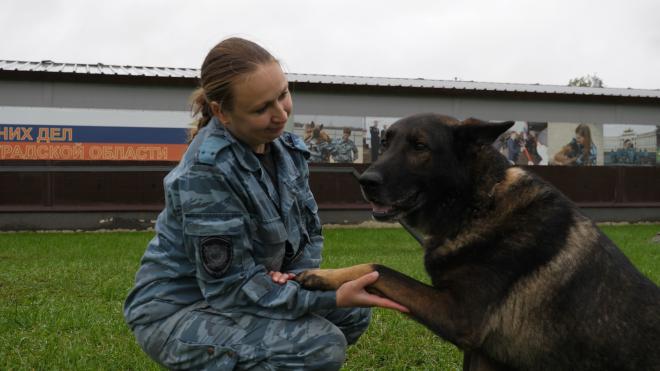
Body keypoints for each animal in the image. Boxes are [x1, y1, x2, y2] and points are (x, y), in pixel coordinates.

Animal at [300, 114, 660, 371]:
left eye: (420, 147)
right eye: (385, 143)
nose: (366, 181)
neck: (477, 203)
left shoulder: (459, 316)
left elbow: (379, 268)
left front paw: (321, 275)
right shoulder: (481, 352)